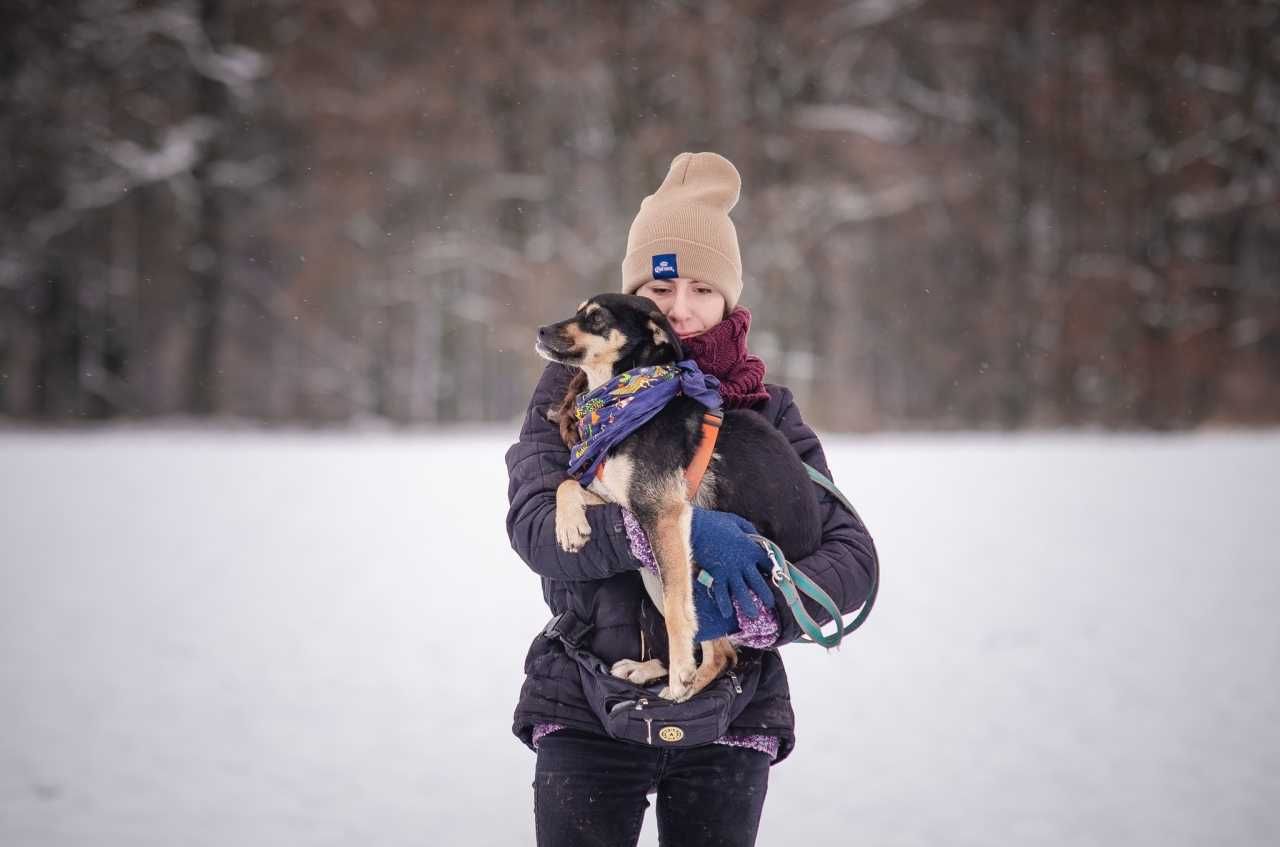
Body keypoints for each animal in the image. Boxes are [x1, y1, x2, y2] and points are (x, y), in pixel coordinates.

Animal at [532, 294, 819, 701]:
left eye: (597, 318)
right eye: (577, 311)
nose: (541, 331)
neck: (629, 403)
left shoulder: (662, 512)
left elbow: (676, 611)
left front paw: (682, 671)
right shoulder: (626, 502)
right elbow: (566, 484)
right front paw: (570, 526)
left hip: (703, 569)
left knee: (721, 651)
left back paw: (683, 681)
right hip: (655, 566)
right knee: (720, 650)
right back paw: (652, 670)